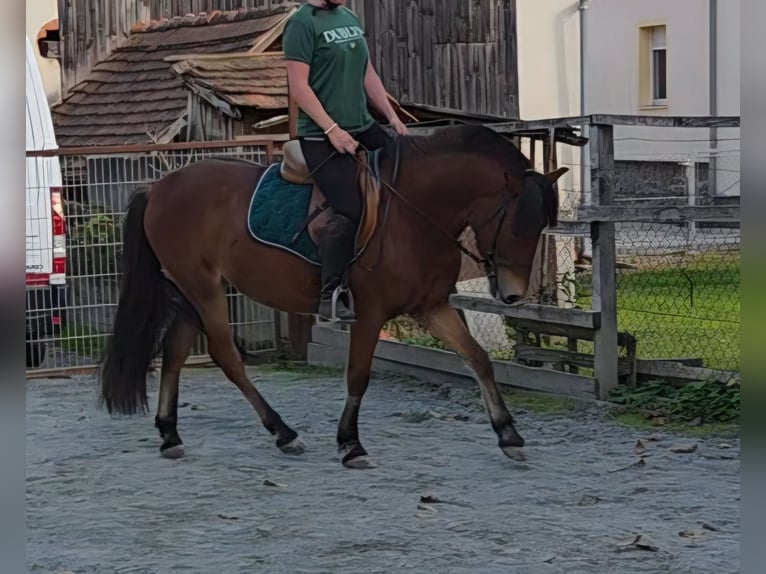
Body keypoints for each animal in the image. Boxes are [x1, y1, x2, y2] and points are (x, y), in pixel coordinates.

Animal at [98, 124, 568, 469]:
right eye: (517, 227)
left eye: (540, 226)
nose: (513, 296)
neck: (413, 213)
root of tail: (159, 187)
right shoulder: (370, 312)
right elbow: (358, 374)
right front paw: (350, 444)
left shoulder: (431, 307)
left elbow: (479, 360)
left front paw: (509, 434)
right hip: (202, 288)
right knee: (225, 355)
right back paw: (284, 433)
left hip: (192, 289)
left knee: (176, 352)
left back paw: (170, 435)